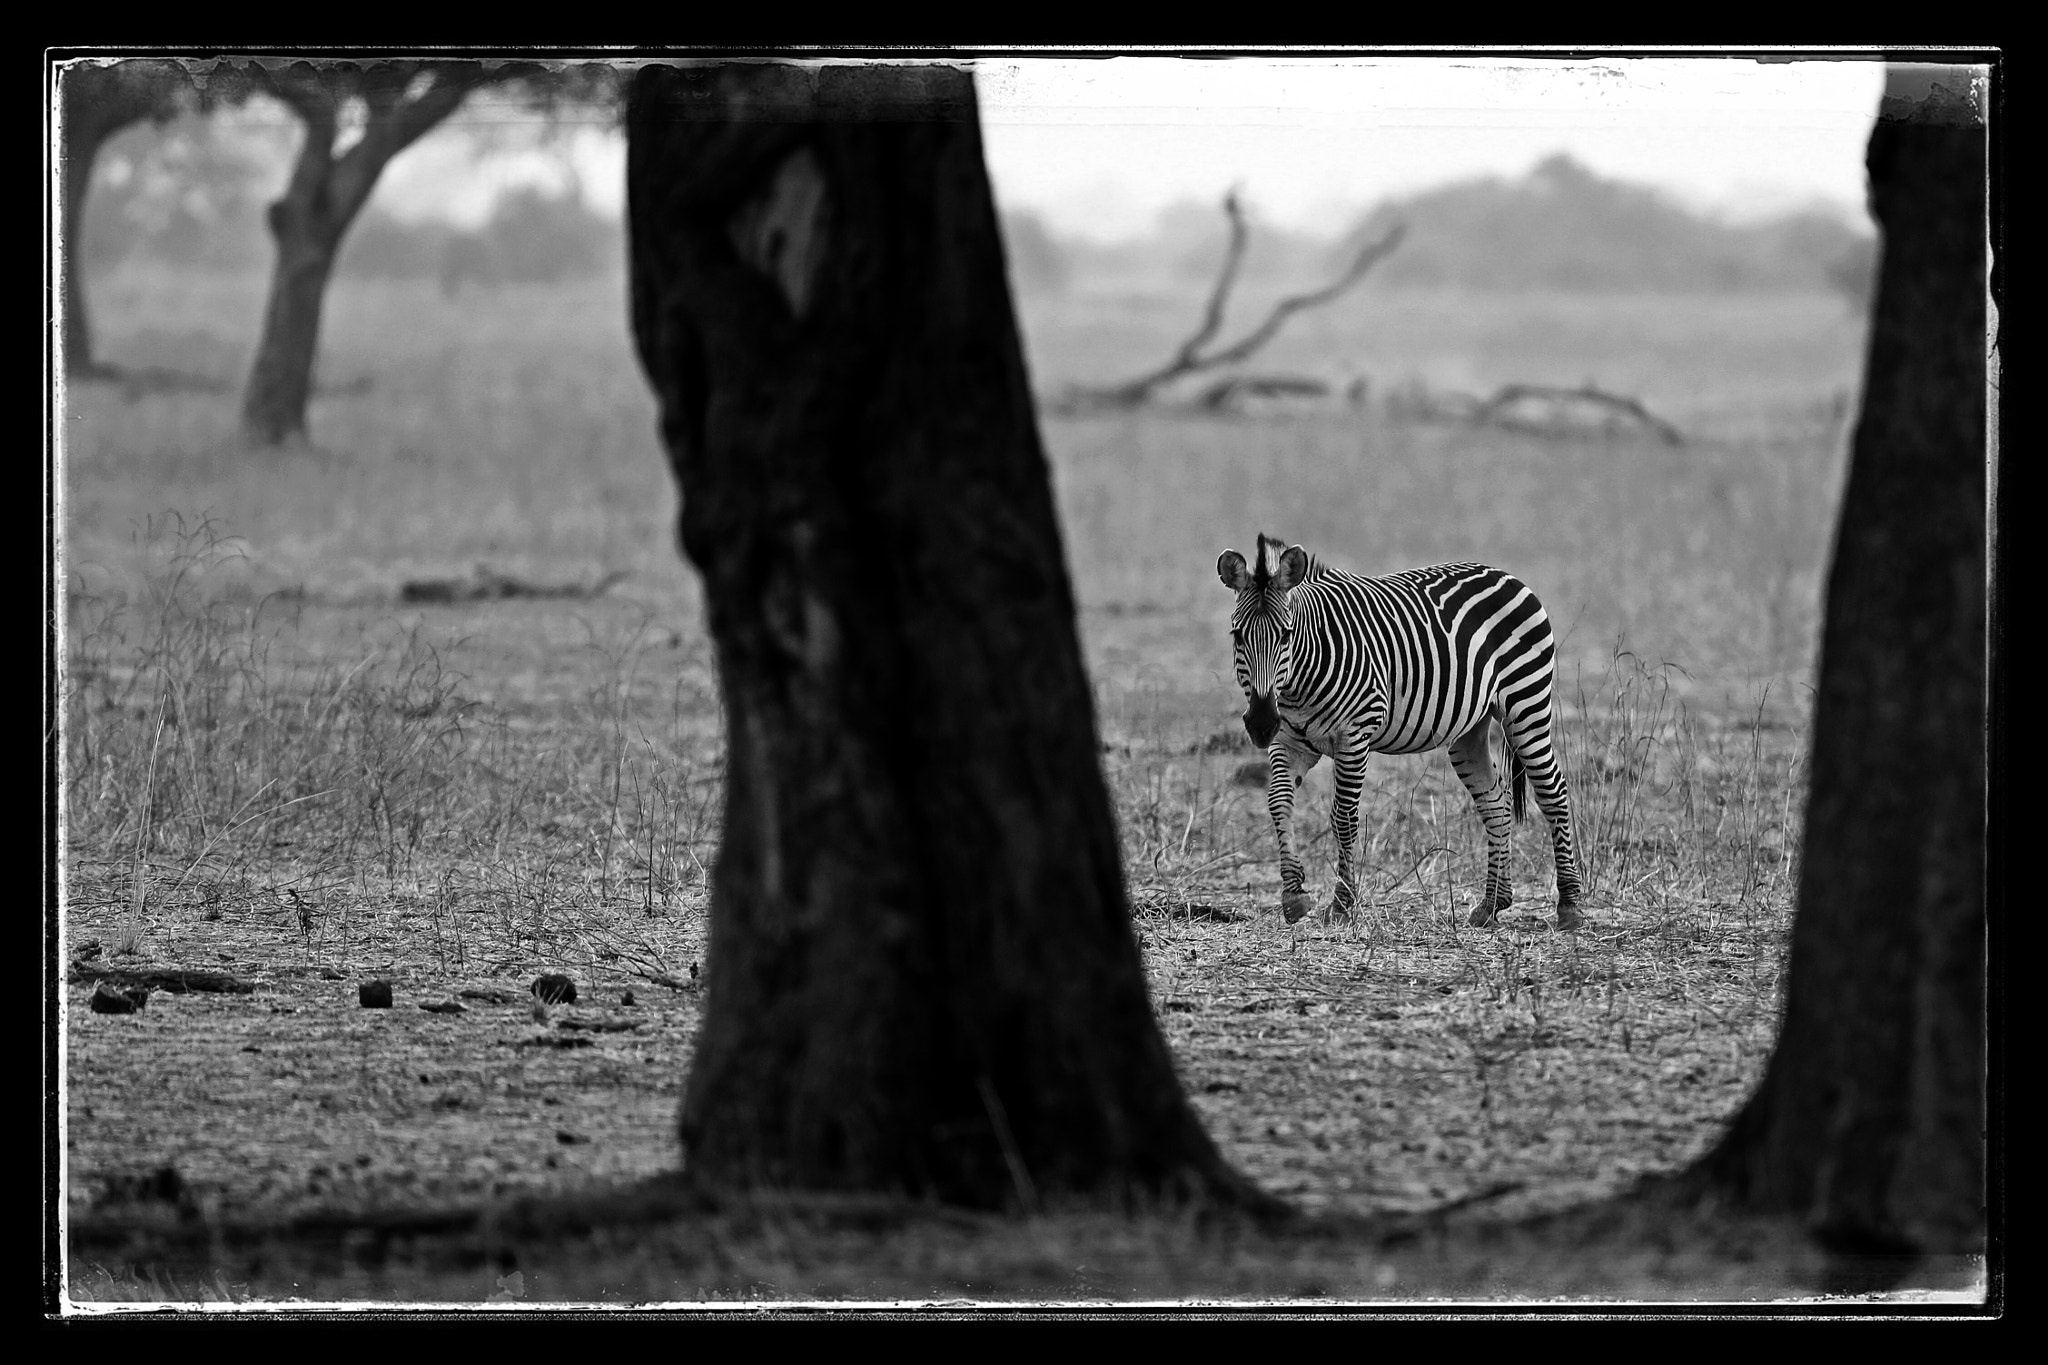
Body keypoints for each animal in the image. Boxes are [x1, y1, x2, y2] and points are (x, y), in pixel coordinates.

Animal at [1212, 532, 1581, 929]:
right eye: (1237, 636)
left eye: (1285, 635)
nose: (1261, 723)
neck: (1300, 680)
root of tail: (1505, 574)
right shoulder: (1289, 741)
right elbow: (1278, 802)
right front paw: (1294, 895)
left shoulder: (1354, 735)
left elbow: (1344, 817)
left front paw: (1342, 904)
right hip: (1470, 729)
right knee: (1495, 801)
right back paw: (1492, 903)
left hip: (1525, 704)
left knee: (1553, 790)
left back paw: (1570, 905)